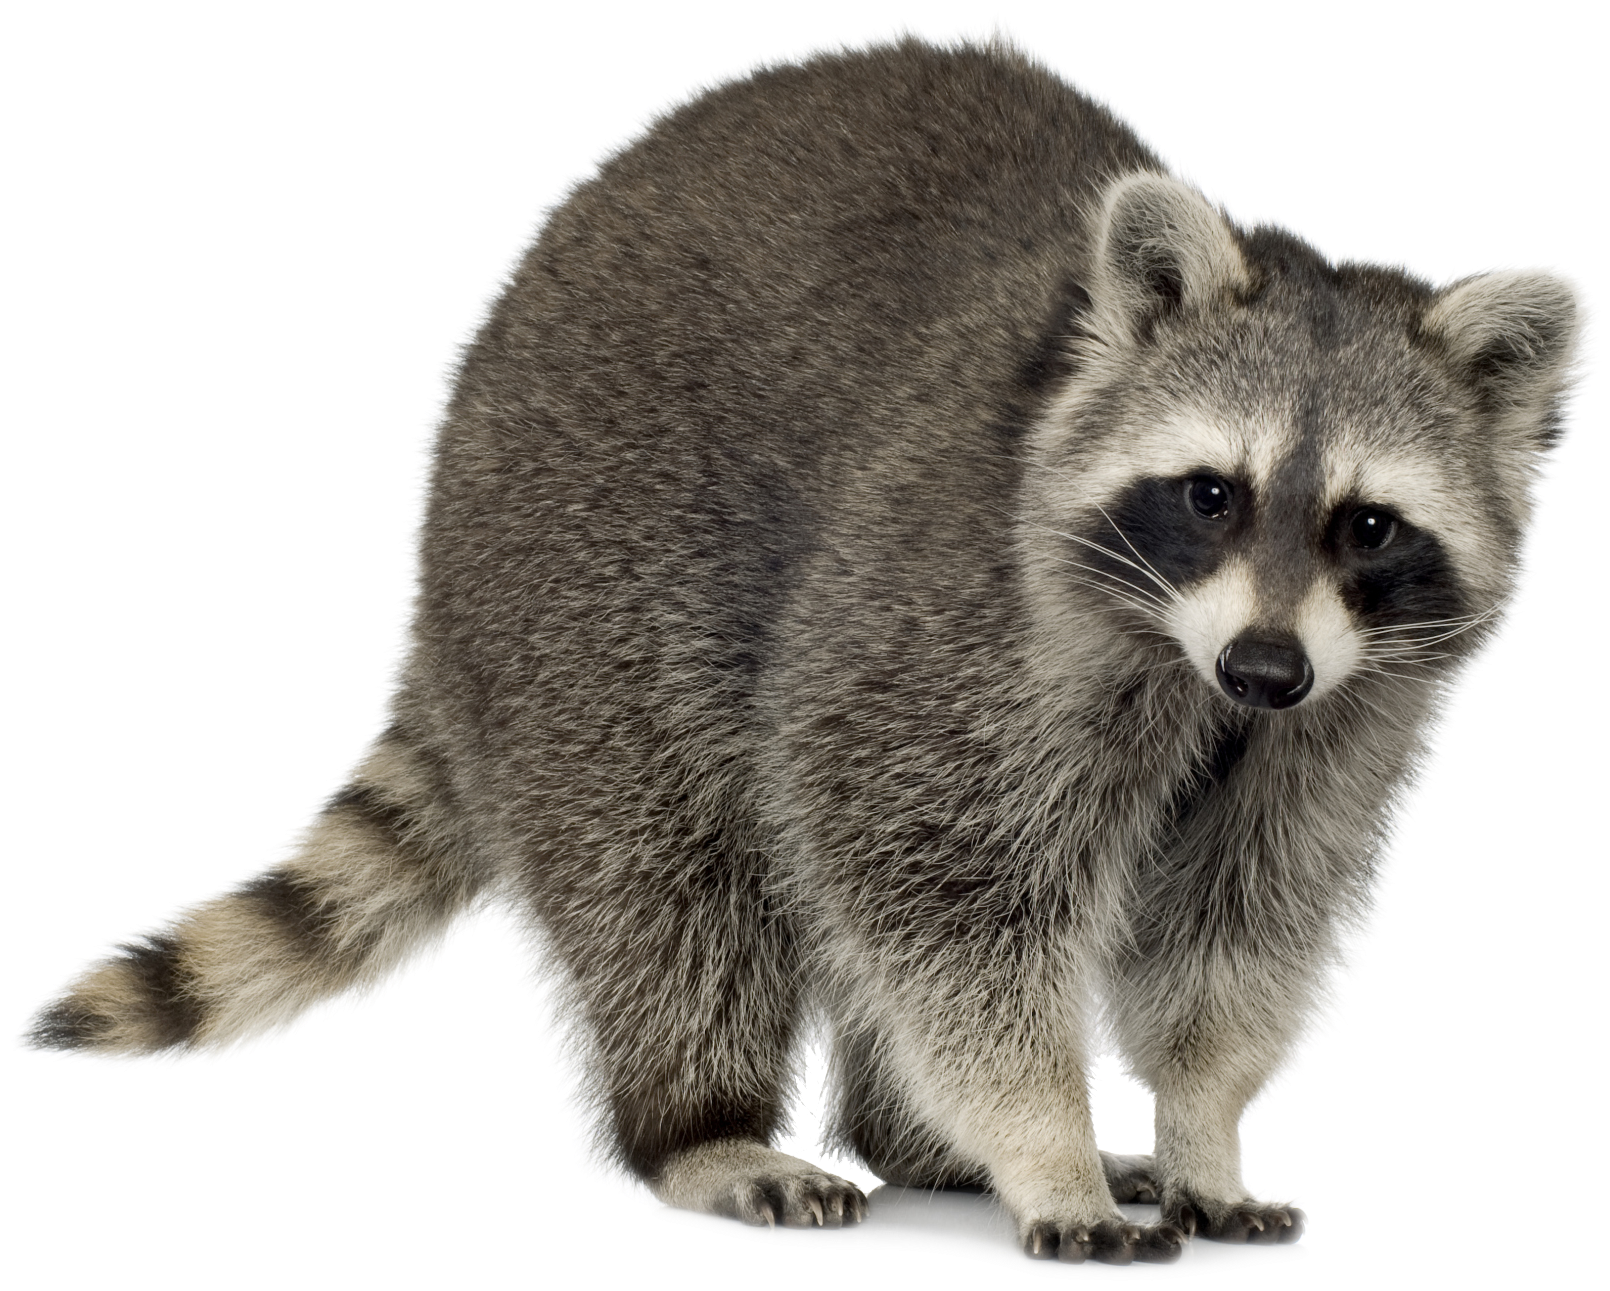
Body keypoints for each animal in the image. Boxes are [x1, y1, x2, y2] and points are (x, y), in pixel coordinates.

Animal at [8, 26, 1596, 1269]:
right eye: (1212, 494)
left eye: (1367, 526)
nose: (1262, 671)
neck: (1183, 649)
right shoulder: (949, 616)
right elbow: (940, 887)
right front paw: (1042, 1137)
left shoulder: (1341, 713)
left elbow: (1235, 915)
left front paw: (1203, 1125)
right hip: (579, 573)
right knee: (673, 875)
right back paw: (704, 1124)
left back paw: (911, 1133)